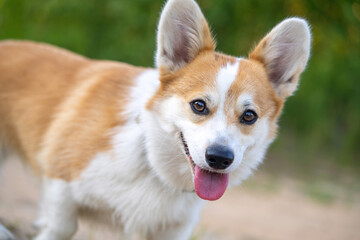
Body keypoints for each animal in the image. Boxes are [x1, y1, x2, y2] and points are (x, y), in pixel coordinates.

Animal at [0, 0, 310, 239]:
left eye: (249, 116)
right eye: (199, 106)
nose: (220, 158)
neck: (153, 163)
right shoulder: (60, 181)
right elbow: (62, 226)